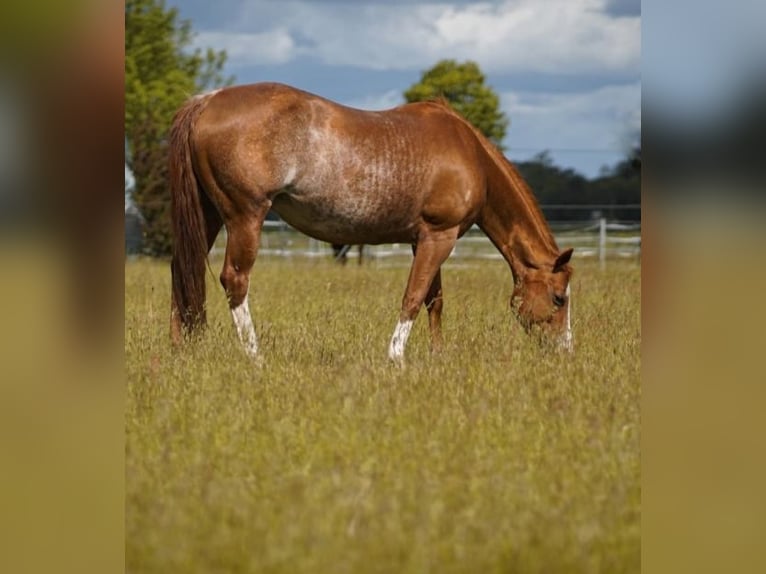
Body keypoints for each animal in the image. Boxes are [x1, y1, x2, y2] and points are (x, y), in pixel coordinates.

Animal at [169, 82, 574, 363]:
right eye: (559, 298)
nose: (564, 351)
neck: (471, 157)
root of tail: (208, 100)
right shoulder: (439, 237)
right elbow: (413, 297)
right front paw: (396, 357)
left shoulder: (424, 239)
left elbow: (435, 300)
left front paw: (437, 356)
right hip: (245, 217)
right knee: (234, 281)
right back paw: (256, 358)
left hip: (207, 215)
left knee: (183, 269)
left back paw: (181, 351)